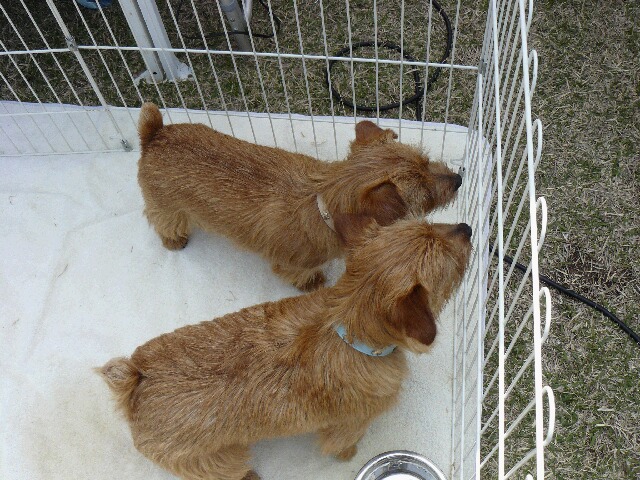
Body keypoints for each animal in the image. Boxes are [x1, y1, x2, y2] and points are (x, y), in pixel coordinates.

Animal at [98, 214, 472, 480]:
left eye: (429, 223)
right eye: (452, 266)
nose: (467, 227)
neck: (342, 326)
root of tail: (137, 380)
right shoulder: (350, 423)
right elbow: (342, 442)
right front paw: (348, 454)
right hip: (219, 459)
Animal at [137, 103, 462, 290]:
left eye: (426, 161)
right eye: (426, 196)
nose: (459, 178)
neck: (320, 204)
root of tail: (155, 134)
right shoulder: (291, 264)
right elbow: (299, 274)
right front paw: (313, 281)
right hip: (166, 209)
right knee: (160, 220)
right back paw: (174, 240)